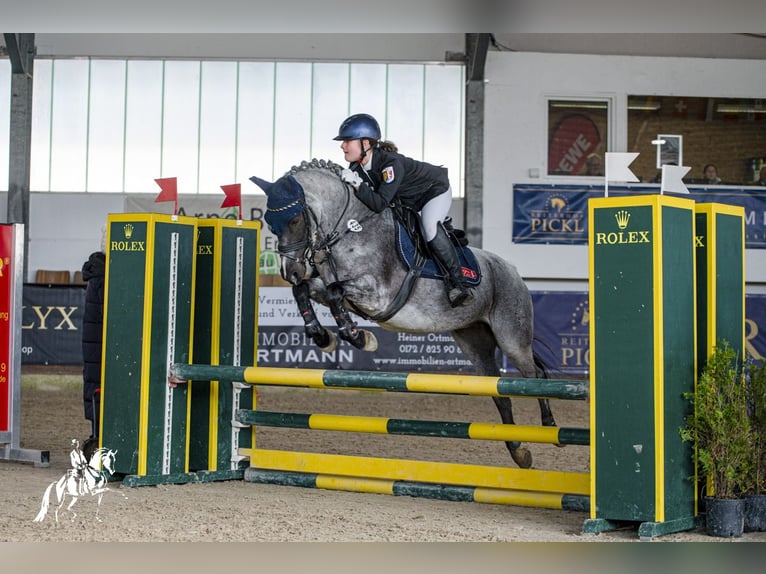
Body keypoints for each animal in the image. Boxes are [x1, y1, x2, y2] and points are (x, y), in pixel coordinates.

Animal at [252, 160, 560, 470]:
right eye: (269, 222)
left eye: (294, 220)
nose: (290, 272)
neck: (350, 228)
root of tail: (512, 271)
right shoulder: (327, 286)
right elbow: (305, 291)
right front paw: (323, 337)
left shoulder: (377, 295)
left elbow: (336, 292)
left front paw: (359, 337)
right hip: (475, 342)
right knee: (500, 394)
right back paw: (519, 452)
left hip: (511, 337)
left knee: (535, 376)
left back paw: (550, 426)